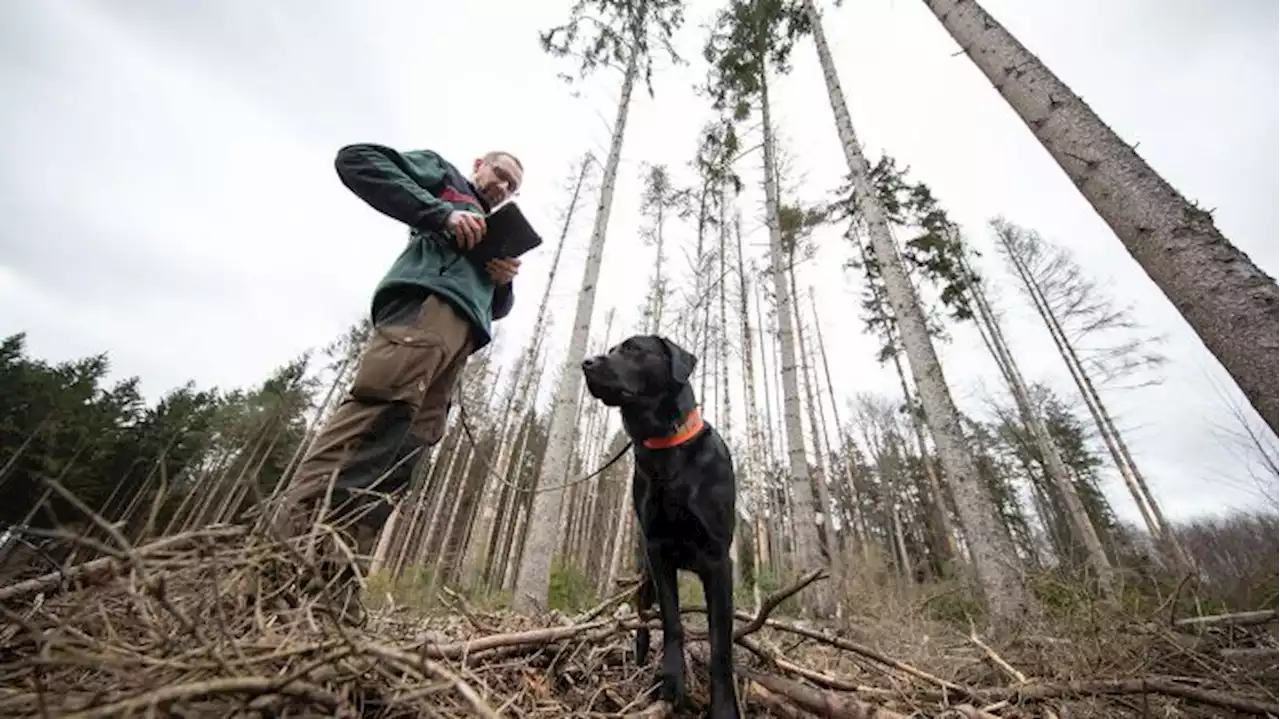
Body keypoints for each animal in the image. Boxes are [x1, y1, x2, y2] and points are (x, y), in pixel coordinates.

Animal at [583, 332, 742, 716]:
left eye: (632, 349)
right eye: (611, 350)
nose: (586, 363)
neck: (667, 451)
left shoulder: (718, 561)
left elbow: (721, 643)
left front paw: (724, 706)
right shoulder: (657, 553)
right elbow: (672, 622)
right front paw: (670, 680)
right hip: (644, 574)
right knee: (643, 618)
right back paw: (640, 659)